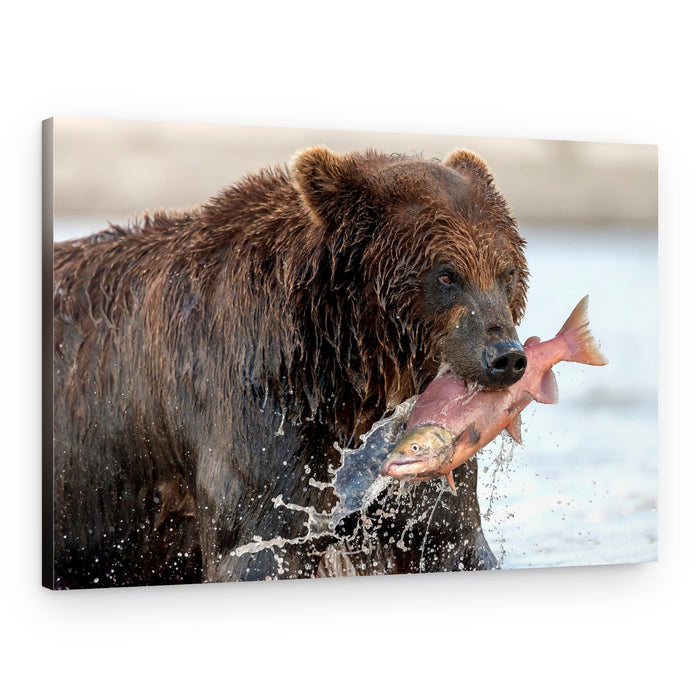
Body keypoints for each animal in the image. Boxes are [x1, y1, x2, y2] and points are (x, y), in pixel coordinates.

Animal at [50, 146, 529, 588]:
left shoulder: (428, 447)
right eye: (446, 274)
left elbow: (448, 538)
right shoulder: (263, 408)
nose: (505, 357)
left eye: (506, 271)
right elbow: (258, 544)